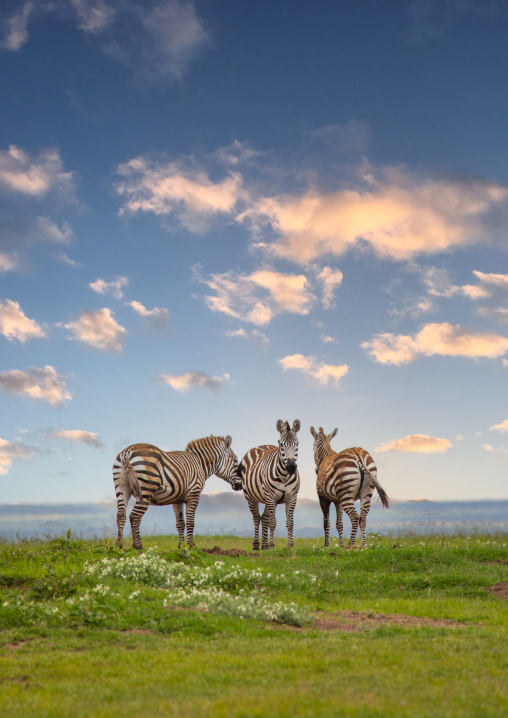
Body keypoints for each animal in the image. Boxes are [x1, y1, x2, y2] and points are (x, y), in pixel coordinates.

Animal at [113, 435, 241, 550]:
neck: (200, 463)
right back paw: (138, 546)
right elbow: (190, 522)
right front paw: (190, 546)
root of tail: (127, 452)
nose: (240, 486)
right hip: (146, 488)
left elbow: (180, 524)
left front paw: (181, 547)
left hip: (122, 488)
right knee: (134, 516)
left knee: (121, 515)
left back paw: (119, 546)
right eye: (235, 460)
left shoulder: (177, 499)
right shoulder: (193, 494)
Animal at [239, 419, 301, 550]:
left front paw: (290, 545)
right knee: (257, 518)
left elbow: (289, 523)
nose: (291, 467)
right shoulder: (271, 497)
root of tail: (259, 446)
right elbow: (273, 522)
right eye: (281, 444)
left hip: (268, 499)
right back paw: (256, 545)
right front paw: (272, 545)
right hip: (252, 498)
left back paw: (264, 546)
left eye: (297, 443)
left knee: (264, 518)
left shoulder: (292, 497)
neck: (284, 476)